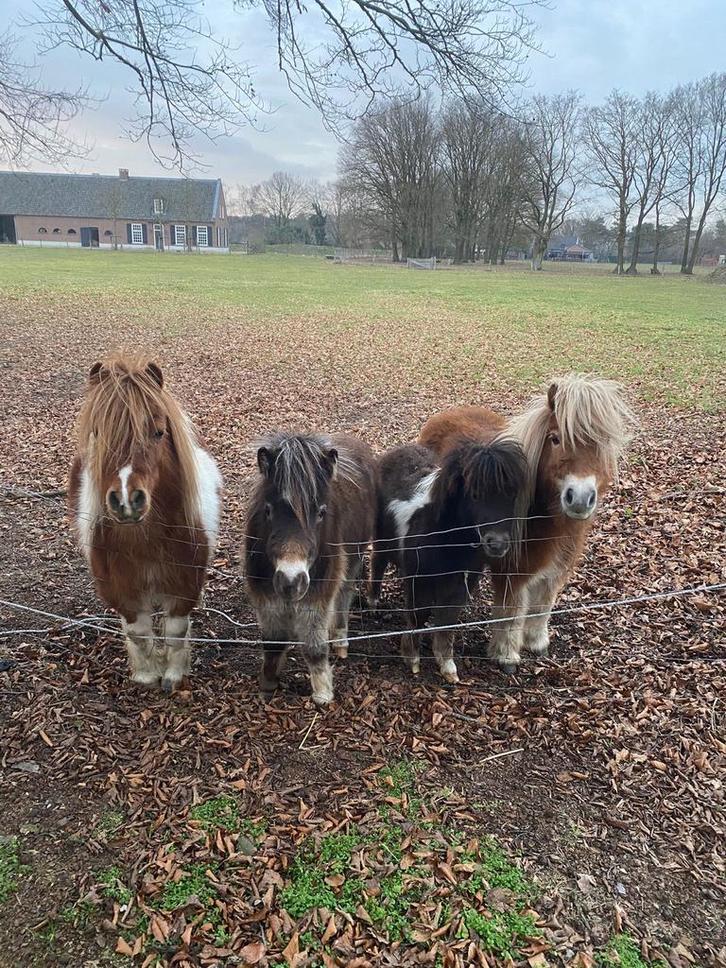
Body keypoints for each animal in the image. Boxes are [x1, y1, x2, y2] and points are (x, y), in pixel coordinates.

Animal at [68, 356, 222, 692]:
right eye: (98, 432)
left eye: (158, 432)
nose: (127, 500)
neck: (144, 539)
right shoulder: (121, 589)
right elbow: (139, 634)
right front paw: (147, 675)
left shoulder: (184, 585)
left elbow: (175, 632)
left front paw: (173, 675)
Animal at [245, 432, 377, 706]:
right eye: (268, 510)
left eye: (321, 513)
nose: (291, 581)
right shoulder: (266, 595)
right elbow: (272, 641)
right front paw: (268, 684)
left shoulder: (317, 595)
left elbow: (315, 646)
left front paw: (323, 693)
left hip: (354, 558)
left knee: (344, 596)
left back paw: (341, 642)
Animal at [371, 439, 528, 683]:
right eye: (474, 494)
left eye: (511, 494)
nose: (498, 544)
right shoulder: (419, 580)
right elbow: (418, 615)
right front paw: (412, 659)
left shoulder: (461, 585)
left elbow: (447, 620)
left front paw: (447, 666)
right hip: (381, 542)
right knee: (377, 564)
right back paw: (373, 604)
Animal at [418, 374, 635, 672]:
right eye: (555, 439)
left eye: (602, 443)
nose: (579, 498)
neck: (544, 521)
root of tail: (447, 414)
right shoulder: (513, 572)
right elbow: (512, 613)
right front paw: (506, 655)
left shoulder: (555, 570)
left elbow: (542, 605)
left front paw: (537, 643)